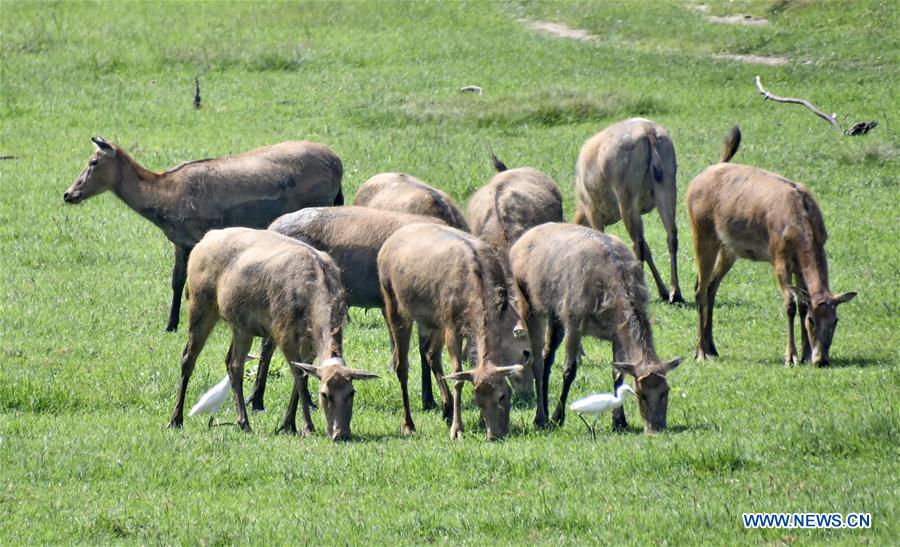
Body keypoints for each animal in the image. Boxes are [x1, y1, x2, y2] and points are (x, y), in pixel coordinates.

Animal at [64, 137, 343, 332]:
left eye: (93, 162)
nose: (69, 194)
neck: (163, 202)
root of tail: (338, 162)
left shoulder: (201, 235)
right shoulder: (180, 241)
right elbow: (177, 281)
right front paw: (170, 324)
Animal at [574, 118, 683, 305]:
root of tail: (648, 131)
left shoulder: (592, 210)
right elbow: (648, 249)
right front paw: (661, 291)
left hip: (626, 194)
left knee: (637, 244)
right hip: (668, 184)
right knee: (671, 235)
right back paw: (674, 293)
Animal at [686, 126, 856, 366]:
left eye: (835, 320)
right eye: (812, 321)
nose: (821, 359)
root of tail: (696, 180)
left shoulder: (798, 264)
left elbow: (803, 302)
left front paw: (805, 354)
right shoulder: (779, 257)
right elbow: (790, 304)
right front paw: (791, 357)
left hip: (728, 248)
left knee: (711, 286)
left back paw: (712, 348)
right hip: (701, 234)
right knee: (699, 289)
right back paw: (700, 352)